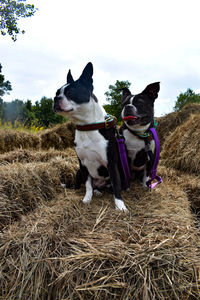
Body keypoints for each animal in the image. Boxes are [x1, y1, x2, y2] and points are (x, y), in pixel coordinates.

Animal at [53, 61, 127, 210]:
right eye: (56, 93)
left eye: (70, 92)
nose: (55, 98)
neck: (86, 126)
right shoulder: (83, 165)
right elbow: (87, 185)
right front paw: (87, 199)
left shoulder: (111, 163)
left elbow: (116, 185)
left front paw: (120, 205)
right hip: (78, 172)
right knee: (81, 186)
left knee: (109, 186)